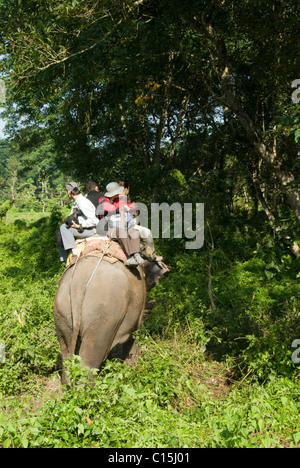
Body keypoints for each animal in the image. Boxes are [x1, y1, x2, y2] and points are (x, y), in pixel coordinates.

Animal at [53, 256, 169, 384]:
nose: (166, 269)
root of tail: (77, 288)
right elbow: (135, 332)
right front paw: (132, 366)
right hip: (103, 315)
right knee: (90, 357)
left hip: (62, 313)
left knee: (66, 353)